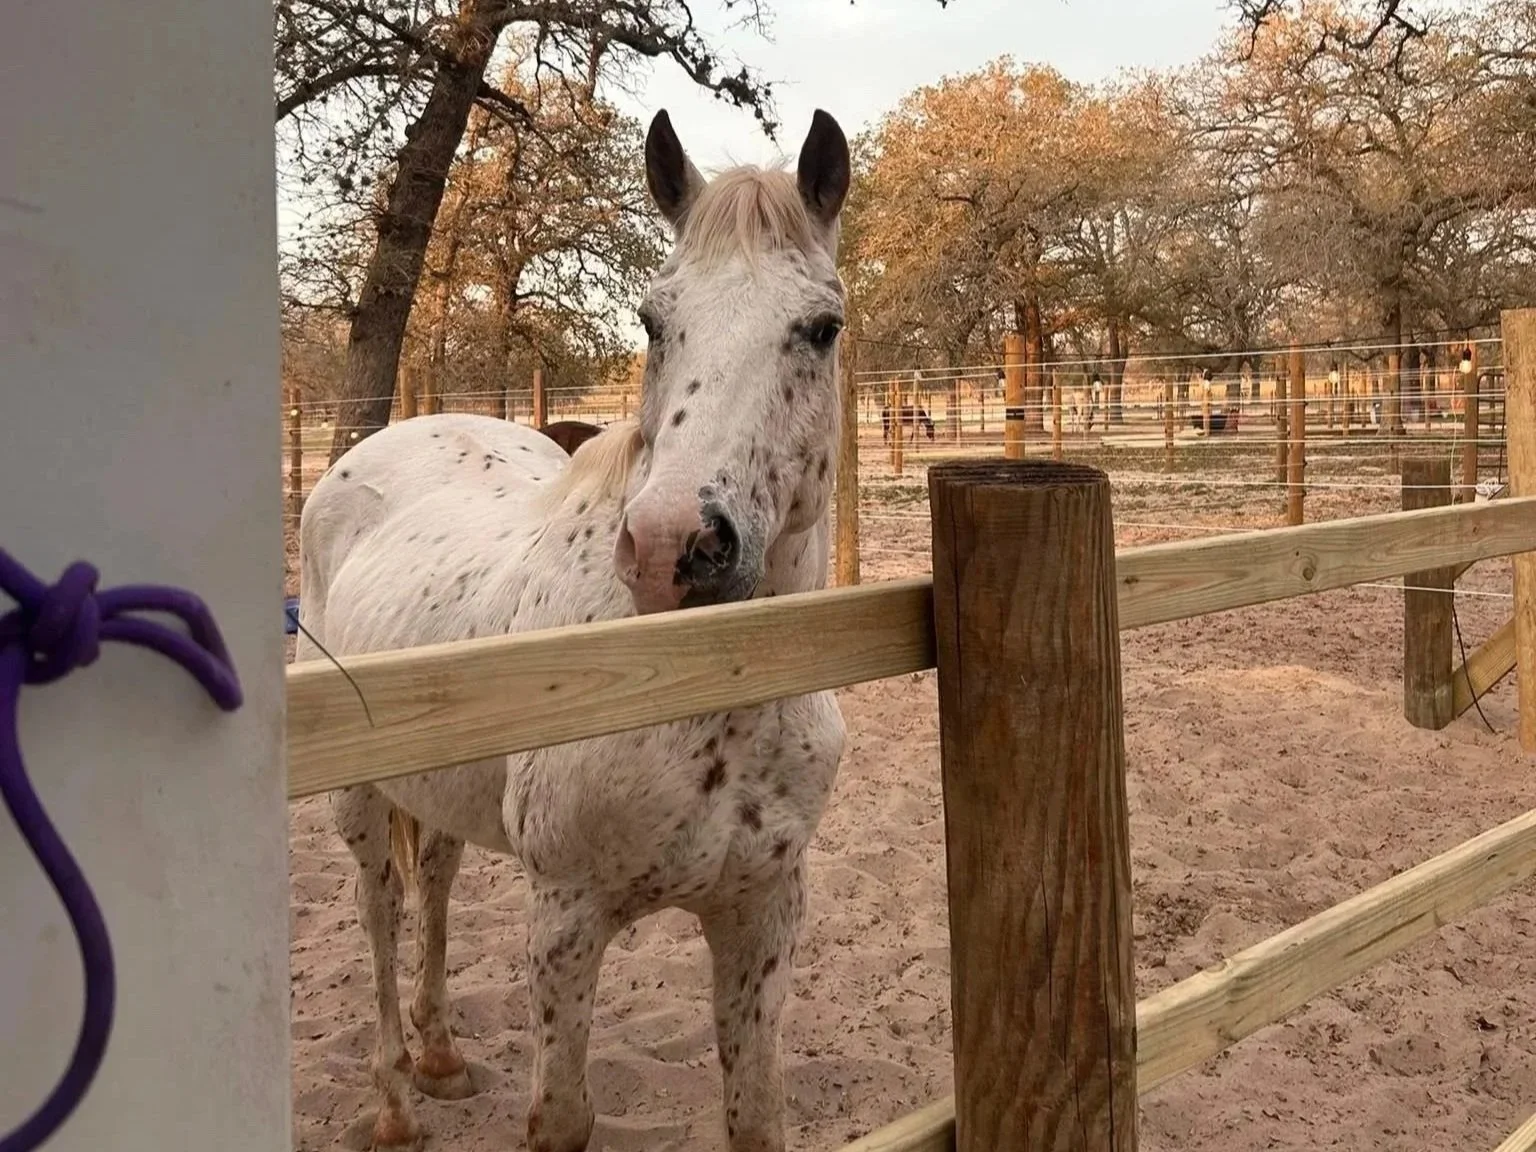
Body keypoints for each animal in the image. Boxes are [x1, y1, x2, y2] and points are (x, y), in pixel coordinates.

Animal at [296, 107, 853, 1152]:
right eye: (653, 320)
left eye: (821, 327)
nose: (675, 546)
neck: (700, 699)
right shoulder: (564, 917)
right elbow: (561, 1115)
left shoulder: (762, 912)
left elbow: (756, 1113)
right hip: (358, 801)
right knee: (380, 911)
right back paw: (393, 1102)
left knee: (435, 880)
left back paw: (441, 1057)